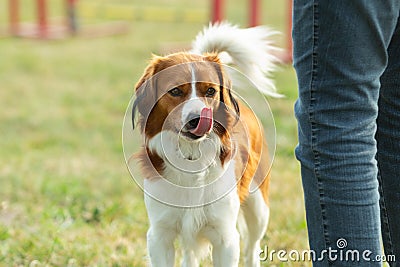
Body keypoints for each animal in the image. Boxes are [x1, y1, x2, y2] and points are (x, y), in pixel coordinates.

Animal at [131, 22, 278, 267]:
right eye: (175, 91)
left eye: (210, 91)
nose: (198, 119)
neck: (191, 159)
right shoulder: (160, 235)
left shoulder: (226, 237)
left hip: (259, 207)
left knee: (253, 247)